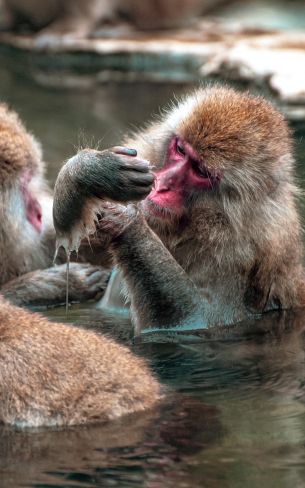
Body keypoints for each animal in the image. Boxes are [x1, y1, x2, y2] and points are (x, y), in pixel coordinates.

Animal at [52, 86, 304, 334]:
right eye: (181, 149)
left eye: (200, 171)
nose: (161, 184)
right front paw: (89, 171)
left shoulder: (240, 256)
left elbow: (196, 319)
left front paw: (127, 221)